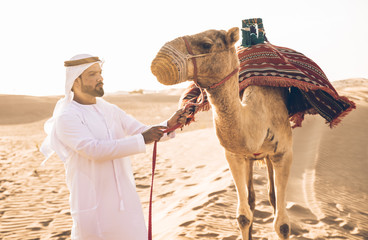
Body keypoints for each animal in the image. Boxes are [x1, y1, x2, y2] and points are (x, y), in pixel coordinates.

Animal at [151, 27, 292, 239]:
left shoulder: (283, 152)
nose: (159, 61)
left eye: (206, 44)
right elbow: (243, 216)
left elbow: (282, 225)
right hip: (251, 159)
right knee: (252, 199)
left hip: (270, 156)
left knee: (273, 198)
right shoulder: (234, 155)